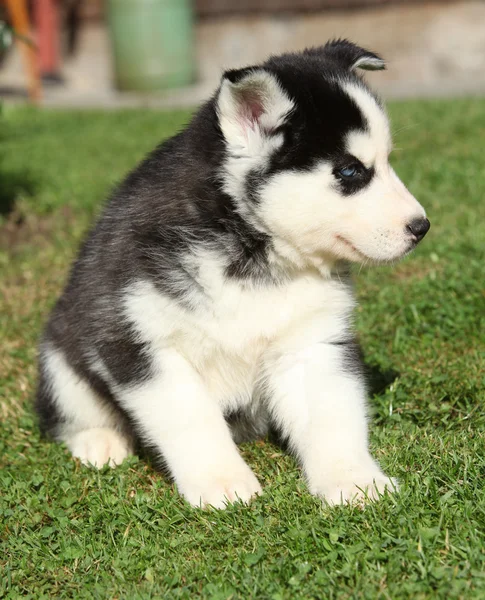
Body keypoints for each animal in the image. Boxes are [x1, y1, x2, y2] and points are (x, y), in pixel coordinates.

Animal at [36, 39, 430, 508]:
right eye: (351, 171)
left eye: (386, 162)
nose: (422, 226)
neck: (250, 248)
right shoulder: (139, 341)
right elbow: (192, 418)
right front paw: (221, 482)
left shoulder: (312, 341)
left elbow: (332, 416)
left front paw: (353, 480)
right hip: (61, 354)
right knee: (72, 409)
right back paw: (99, 440)